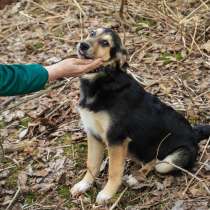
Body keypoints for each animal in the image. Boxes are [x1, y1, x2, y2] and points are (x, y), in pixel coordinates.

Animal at [70, 27, 210, 203]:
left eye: (105, 43)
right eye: (92, 33)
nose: (82, 45)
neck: (103, 80)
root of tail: (194, 133)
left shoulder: (116, 139)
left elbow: (114, 171)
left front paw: (108, 193)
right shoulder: (93, 134)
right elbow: (91, 164)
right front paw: (84, 184)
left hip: (169, 161)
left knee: (156, 162)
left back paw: (135, 178)